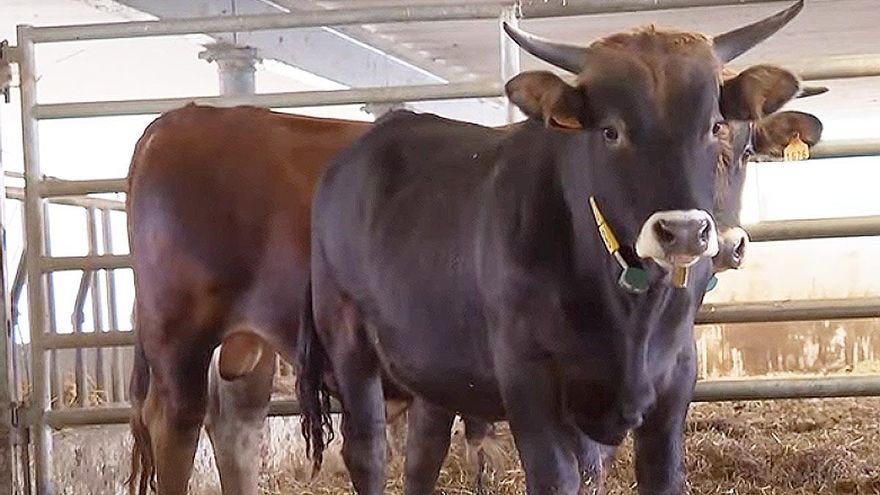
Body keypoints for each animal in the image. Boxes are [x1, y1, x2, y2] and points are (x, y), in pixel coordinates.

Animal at [297, 2, 811, 494]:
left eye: (716, 125)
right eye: (610, 131)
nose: (683, 231)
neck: (631, 313)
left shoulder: (674, 382)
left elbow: (651, 476)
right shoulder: (530, 381)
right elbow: (556, 479)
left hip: (432, 363)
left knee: (423, 453)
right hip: (347, 337)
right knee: (367, 450)